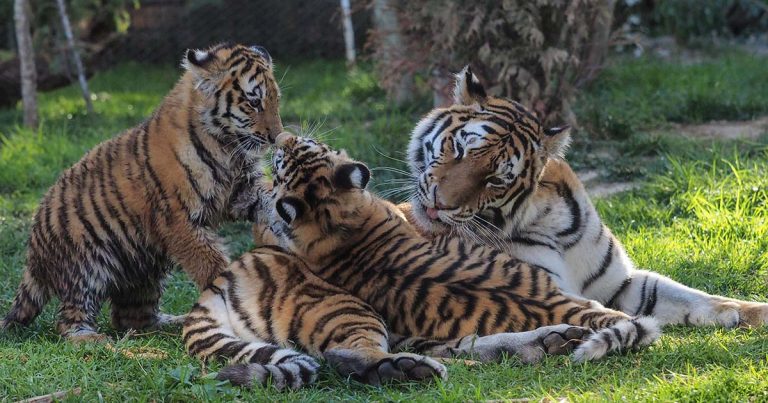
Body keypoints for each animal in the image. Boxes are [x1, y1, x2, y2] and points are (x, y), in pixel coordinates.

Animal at [0, 43, 282, 340]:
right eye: (254, 102)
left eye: (276, 100)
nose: (276, 136)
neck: (227, 146)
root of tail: (33, 255)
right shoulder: (177, 220)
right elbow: (211, 264)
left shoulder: (243, 192)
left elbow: (270, 200)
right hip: (87, 265)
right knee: (68, 321)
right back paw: (93, 340)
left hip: (144, 270)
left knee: (132, 319)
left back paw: (173, 322)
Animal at [402, 66, 768, 330]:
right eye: (459, 149)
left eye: (496, 180)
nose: (439, 203)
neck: (544, 215)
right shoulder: (538, 289)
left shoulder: (621, 282)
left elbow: (690, 296)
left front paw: (746, 310)